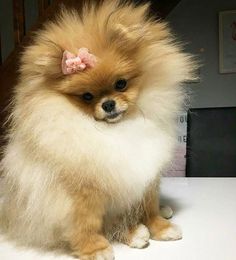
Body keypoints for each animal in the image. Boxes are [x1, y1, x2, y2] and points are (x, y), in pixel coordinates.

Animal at [0, 1, 195, 258]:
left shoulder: (147, 176)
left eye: (120, 84)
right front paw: (95, 248)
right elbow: (85, 223)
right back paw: (133, 233)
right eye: (87, 96)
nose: (108, 104)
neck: (117, 130)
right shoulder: (81, 193)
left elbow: (149, 207)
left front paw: (161, 228)